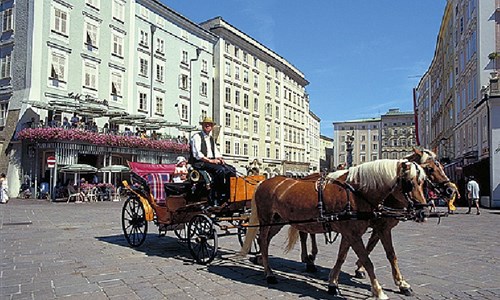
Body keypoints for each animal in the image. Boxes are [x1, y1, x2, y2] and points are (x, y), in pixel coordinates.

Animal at [240, 159, 428, 298]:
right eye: (409, 183)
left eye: (423, 183)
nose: (424, 211)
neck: (356, 193)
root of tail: (262, 182)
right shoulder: (356, 234)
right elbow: (368, 261)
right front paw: (379, 291)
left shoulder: (352, 233)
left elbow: (344, 256)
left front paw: (333, 283)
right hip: (266, 220)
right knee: (264, 242)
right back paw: (269, 273)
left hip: (277, 221)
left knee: (264, 240)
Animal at [288, 148, 456, 296]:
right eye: (429, 169)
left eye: (441, 166)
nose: (451, 190)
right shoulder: (376, 227)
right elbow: (375, 251)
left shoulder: (380, 227)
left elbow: (380, 251)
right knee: (304, 234)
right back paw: (309, 261)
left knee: (309, 233)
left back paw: (311, 258)